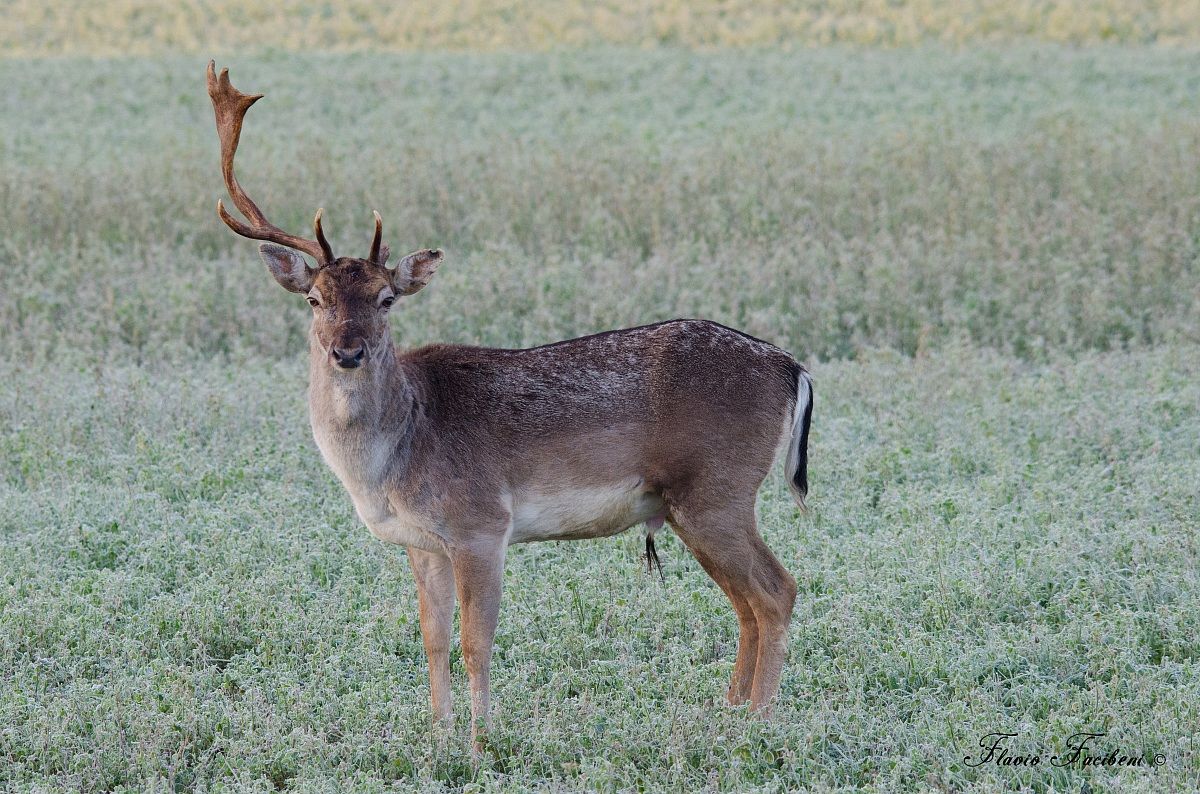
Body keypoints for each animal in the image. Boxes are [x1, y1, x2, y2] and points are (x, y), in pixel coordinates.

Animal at [206, 61, 813, 747]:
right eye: (314, 298)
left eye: (387, 298)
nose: (347, 351)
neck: (389, 463)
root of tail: (791, 368)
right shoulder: (424, 542)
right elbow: (432, 641)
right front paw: (437, 737)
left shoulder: (480, 523)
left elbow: (476, 643)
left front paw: (479, 742)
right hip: (695, 505)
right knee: (748, 603)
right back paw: (728, 715)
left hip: (717, 489)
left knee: (775, 591)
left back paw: (758, 726)